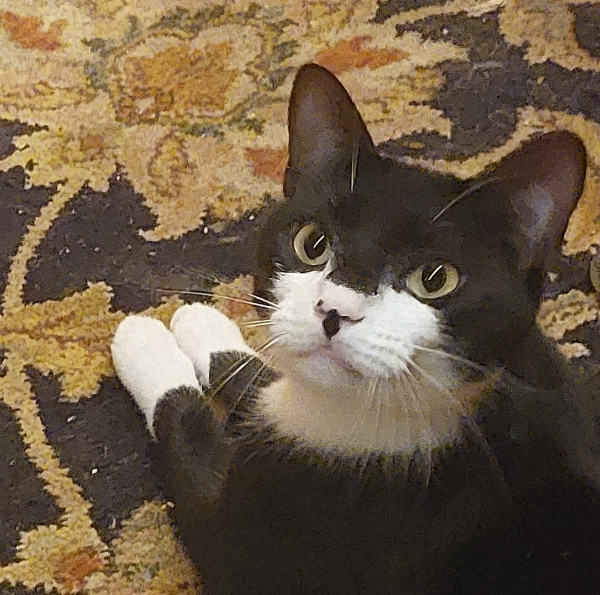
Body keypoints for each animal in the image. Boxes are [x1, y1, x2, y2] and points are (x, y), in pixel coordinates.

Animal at [110, 62, 600, 592]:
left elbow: (182, 424)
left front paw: (146, 342)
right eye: (312, 242)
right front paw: (206, 327)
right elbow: (257, 377)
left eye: (435, 278)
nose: (334, 311)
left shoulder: (251, 547)